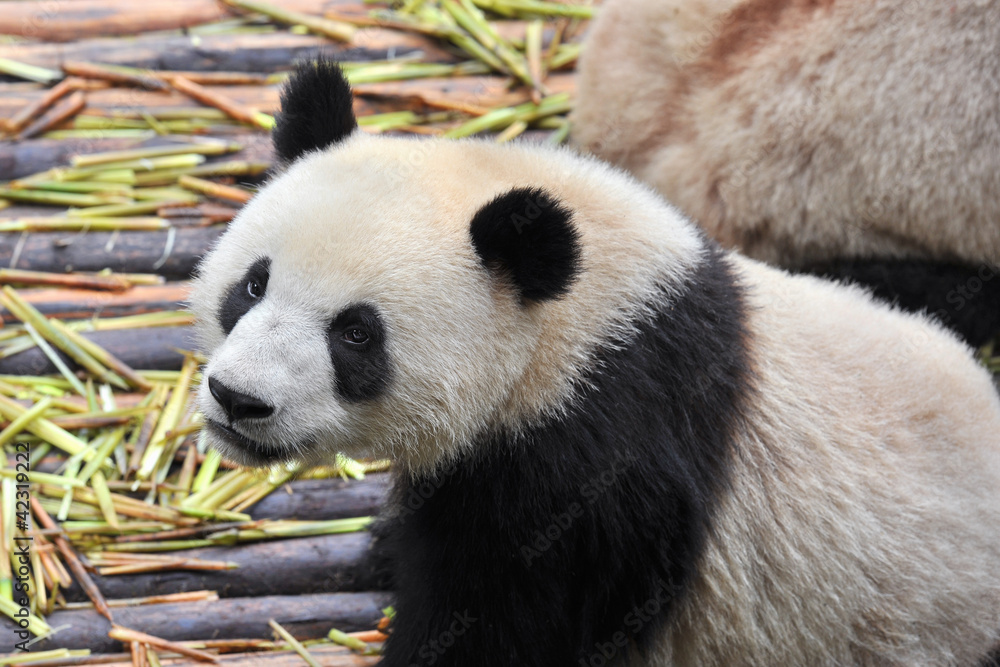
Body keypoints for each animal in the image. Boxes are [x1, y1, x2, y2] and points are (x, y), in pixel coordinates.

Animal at [190, 60, 1000, 666]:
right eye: (254, 283)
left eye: (357, 335)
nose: (238, 399)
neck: (576, 328)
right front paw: (387, 543)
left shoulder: (590, 460)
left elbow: (509, 622)